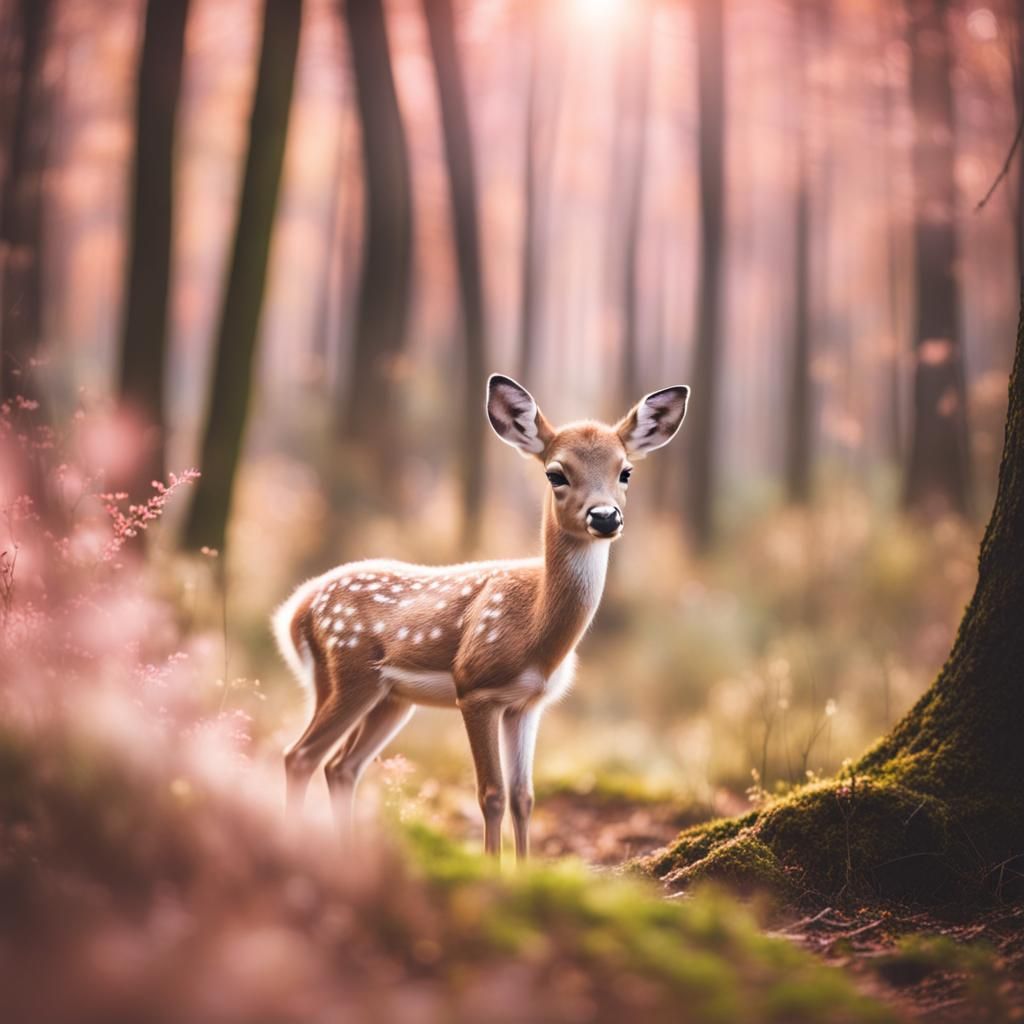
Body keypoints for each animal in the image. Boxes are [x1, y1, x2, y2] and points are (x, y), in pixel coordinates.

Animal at [272, 374, 689, 860]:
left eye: (625, 471)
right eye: (555, 473)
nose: (605, 517)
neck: (536, 633)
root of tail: (296, 611)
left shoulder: (527, 703)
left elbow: (524, 797)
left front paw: (526, 870)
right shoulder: (474, 688)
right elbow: (491, 794)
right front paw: (492, 867)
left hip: (391, 698)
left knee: (341, 767)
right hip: (347, 673)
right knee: (300, 755)